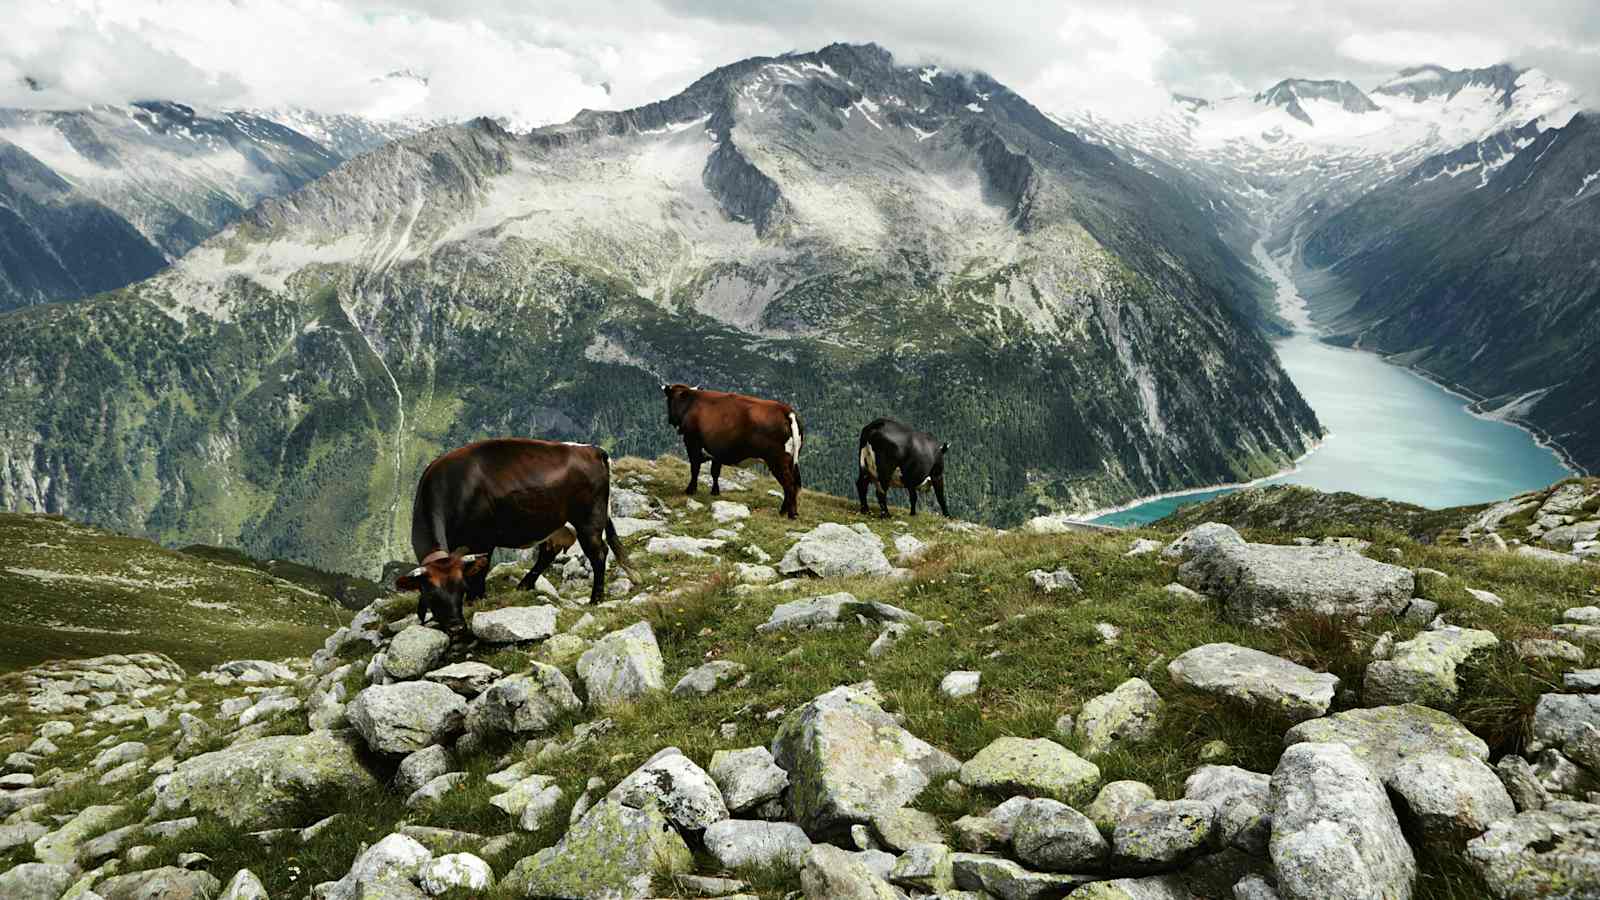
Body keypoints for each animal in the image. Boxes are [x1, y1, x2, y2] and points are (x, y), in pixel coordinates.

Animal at [393, 438, 630, 627]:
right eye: (431, 594)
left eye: (460, 587)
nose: (456, 626)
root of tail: (593, 449)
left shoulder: (483, 541)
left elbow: (480, 572)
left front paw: (476, 600)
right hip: (556, 522)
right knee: (548, 552)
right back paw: (524, 586)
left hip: (589, 519)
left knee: (598, 553)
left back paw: (596, 598)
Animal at [662, 381, 806, 515]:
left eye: (669, 400)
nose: (670, 419)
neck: (691, 403)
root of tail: (785, 410)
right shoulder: (717, 452)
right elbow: (715, 472)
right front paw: (715, 492)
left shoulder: (692, 444)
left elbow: (695, 469)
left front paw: (690, 490)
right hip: (791, 460)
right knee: (794, 485)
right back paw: (787, 511)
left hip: (777, 461)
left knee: (789, 485)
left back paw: (788, 513)